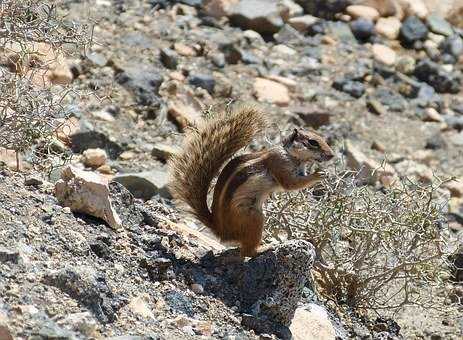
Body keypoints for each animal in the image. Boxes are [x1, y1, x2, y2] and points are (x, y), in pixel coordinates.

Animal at [169, 105, 336, 256]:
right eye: (313, 142)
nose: (332, 155)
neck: (293, 156)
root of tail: (221, 230)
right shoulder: (279, 163)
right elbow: (290, 184)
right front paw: (318, 175)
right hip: (253, 217)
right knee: (248, 252)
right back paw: (265, 248)